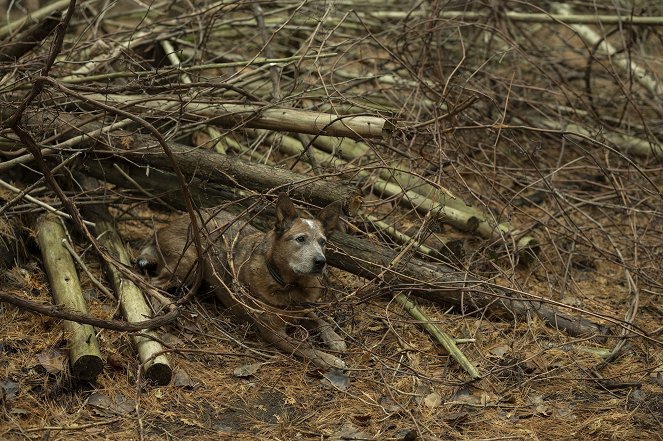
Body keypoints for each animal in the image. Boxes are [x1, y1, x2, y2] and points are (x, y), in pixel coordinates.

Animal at [140, 194, 348, 370]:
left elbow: (321, 320)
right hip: (190, 263)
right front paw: (330, 359)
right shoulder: (274, 333)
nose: (321, 261)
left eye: (322, 241)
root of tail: (163, 228)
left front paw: (335, 339)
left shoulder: (303, 309)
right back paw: (159, 305)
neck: (290, 285)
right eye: (301, 239)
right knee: (151, 281)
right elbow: (306, 348)